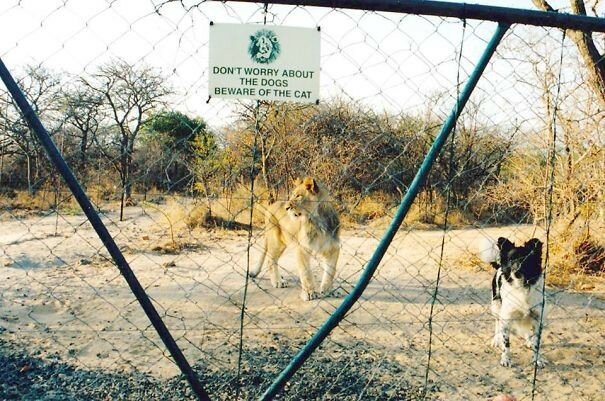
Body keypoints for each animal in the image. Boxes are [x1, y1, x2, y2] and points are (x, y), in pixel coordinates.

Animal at [482, 236, 548, 368]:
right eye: (511, 259)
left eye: (526, 259)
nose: (516, 272)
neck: (522, 287)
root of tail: (499, 266)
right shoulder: (507, 317)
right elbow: (506, 343)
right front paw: (506, 359)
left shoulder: (537, 318)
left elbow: (537, 343)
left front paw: (537, 359)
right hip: (496, 306)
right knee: (497, 323)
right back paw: (496, 339)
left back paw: (528, 340)